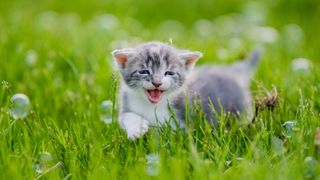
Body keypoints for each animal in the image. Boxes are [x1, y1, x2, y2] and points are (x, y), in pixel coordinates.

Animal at [111, 41, 262, 140]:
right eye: (144, 71)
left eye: (169, 73)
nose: (157, 83)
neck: (151, 106)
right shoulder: (126, 101)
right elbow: (126, 116)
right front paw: (136, 128)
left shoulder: (182, 117)